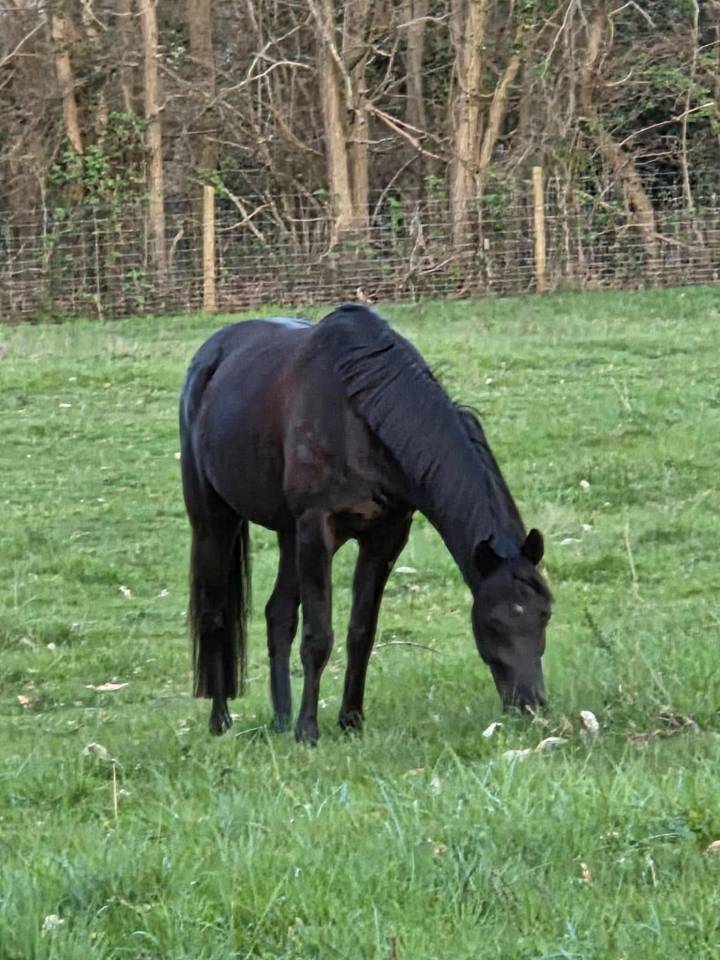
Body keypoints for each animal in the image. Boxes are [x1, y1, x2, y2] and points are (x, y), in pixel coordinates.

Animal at [179, 303, 552, 744]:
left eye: (544, 614)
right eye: (493, 621)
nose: (531, 705)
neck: (359, 418)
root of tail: (210, 355)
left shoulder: (385, 537)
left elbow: (361, 632)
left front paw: (350, 720)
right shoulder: (318, 529)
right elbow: (318, 636)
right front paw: (308, 730)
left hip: (289, 535)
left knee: (278, 616)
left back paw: (281, 718)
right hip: (215, 520)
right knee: (214, 614)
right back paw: (221, 720)